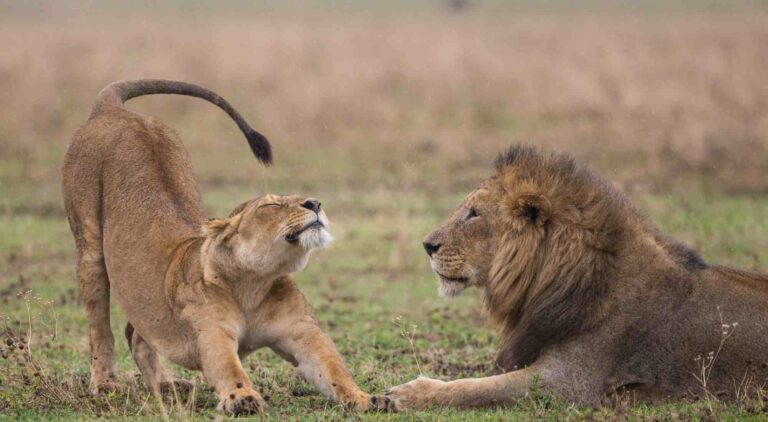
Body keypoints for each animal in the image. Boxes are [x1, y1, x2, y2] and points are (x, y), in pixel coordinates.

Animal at [62, 79, 392, 415]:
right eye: (272, 204)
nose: (315, 203)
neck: (254, 285)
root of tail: (114, 110)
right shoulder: (212, 333)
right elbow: (228, 367)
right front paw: (241, 397)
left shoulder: (303, 333)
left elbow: (334, 369)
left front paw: (367, 398)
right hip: (89, 247)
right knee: (100, 327)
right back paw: (105, 385)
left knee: (137, 333)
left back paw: (166, 384)